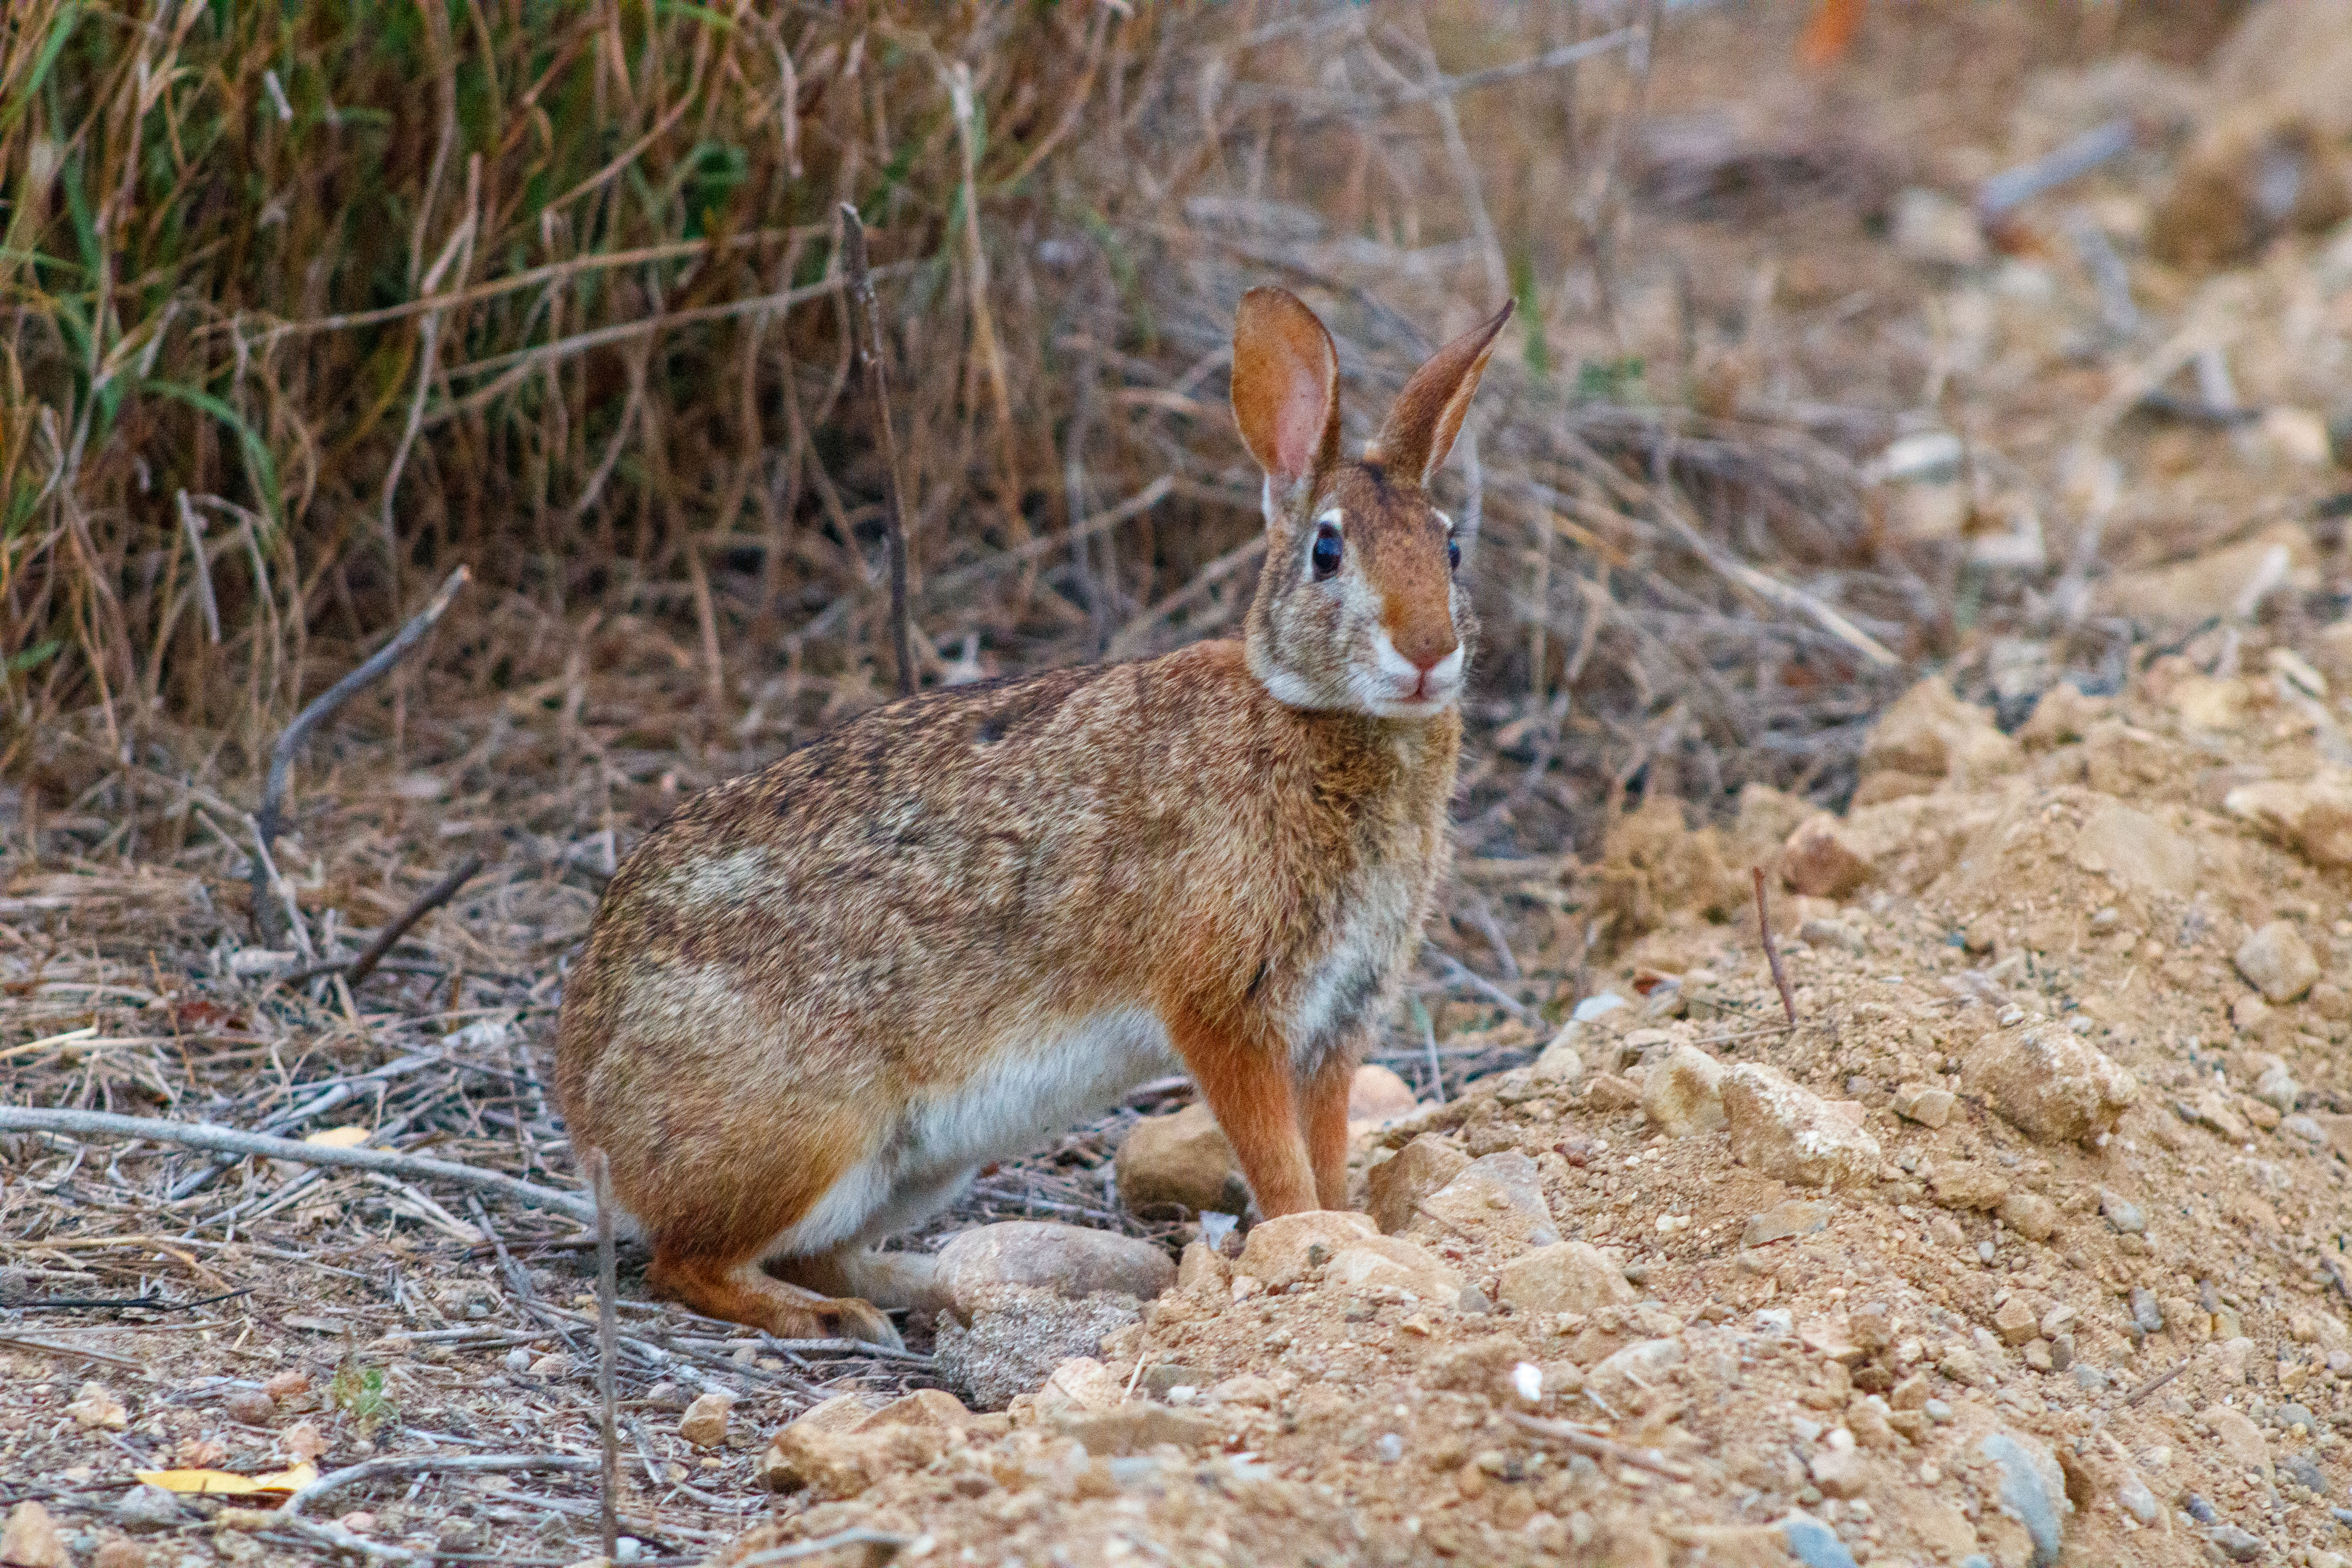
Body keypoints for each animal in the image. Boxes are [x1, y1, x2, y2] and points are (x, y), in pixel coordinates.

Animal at [553, 286, 1513, 1345]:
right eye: (1328, 552)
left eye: (1451, 545)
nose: (1428, 650)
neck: (1315, 717)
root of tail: (587, 1101)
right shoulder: (1230, 1009)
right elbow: (1274, 1155)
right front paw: (1312, 1240)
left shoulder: (1339, 1021)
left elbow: (1329, 1142)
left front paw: (1348, 1226)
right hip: (810, 1132)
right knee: (686, 1261)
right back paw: (840, 1317)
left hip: (917, 1165)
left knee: (803, 1249)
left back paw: (925, 1284)